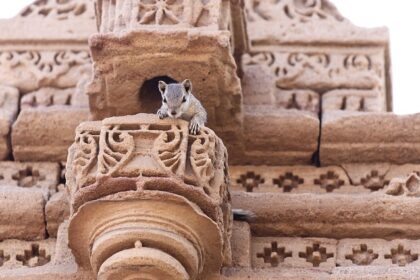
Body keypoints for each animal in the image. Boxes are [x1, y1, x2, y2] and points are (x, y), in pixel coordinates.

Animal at [158, 79, 254, 223]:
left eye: (184, 99)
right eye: (164, 99)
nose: (173, 112)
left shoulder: (198, 107)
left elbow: (201, 115)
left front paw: (195, 123)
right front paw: (162, 112)